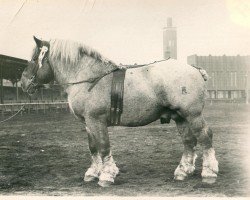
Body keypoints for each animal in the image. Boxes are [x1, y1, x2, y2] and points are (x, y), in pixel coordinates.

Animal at [20, 37, 218, 188]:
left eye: (34, 58)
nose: (23, 82)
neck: (89, 78)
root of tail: (195, 69)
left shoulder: (97, 120)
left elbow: (103, 146)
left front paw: (107, 175)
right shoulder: (88, 123)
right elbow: (93, 147)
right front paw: (93, 173)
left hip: (192, 115)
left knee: (205, 137)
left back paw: (209, 173)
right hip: (180, 117)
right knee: (189, 141)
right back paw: (183, 171)